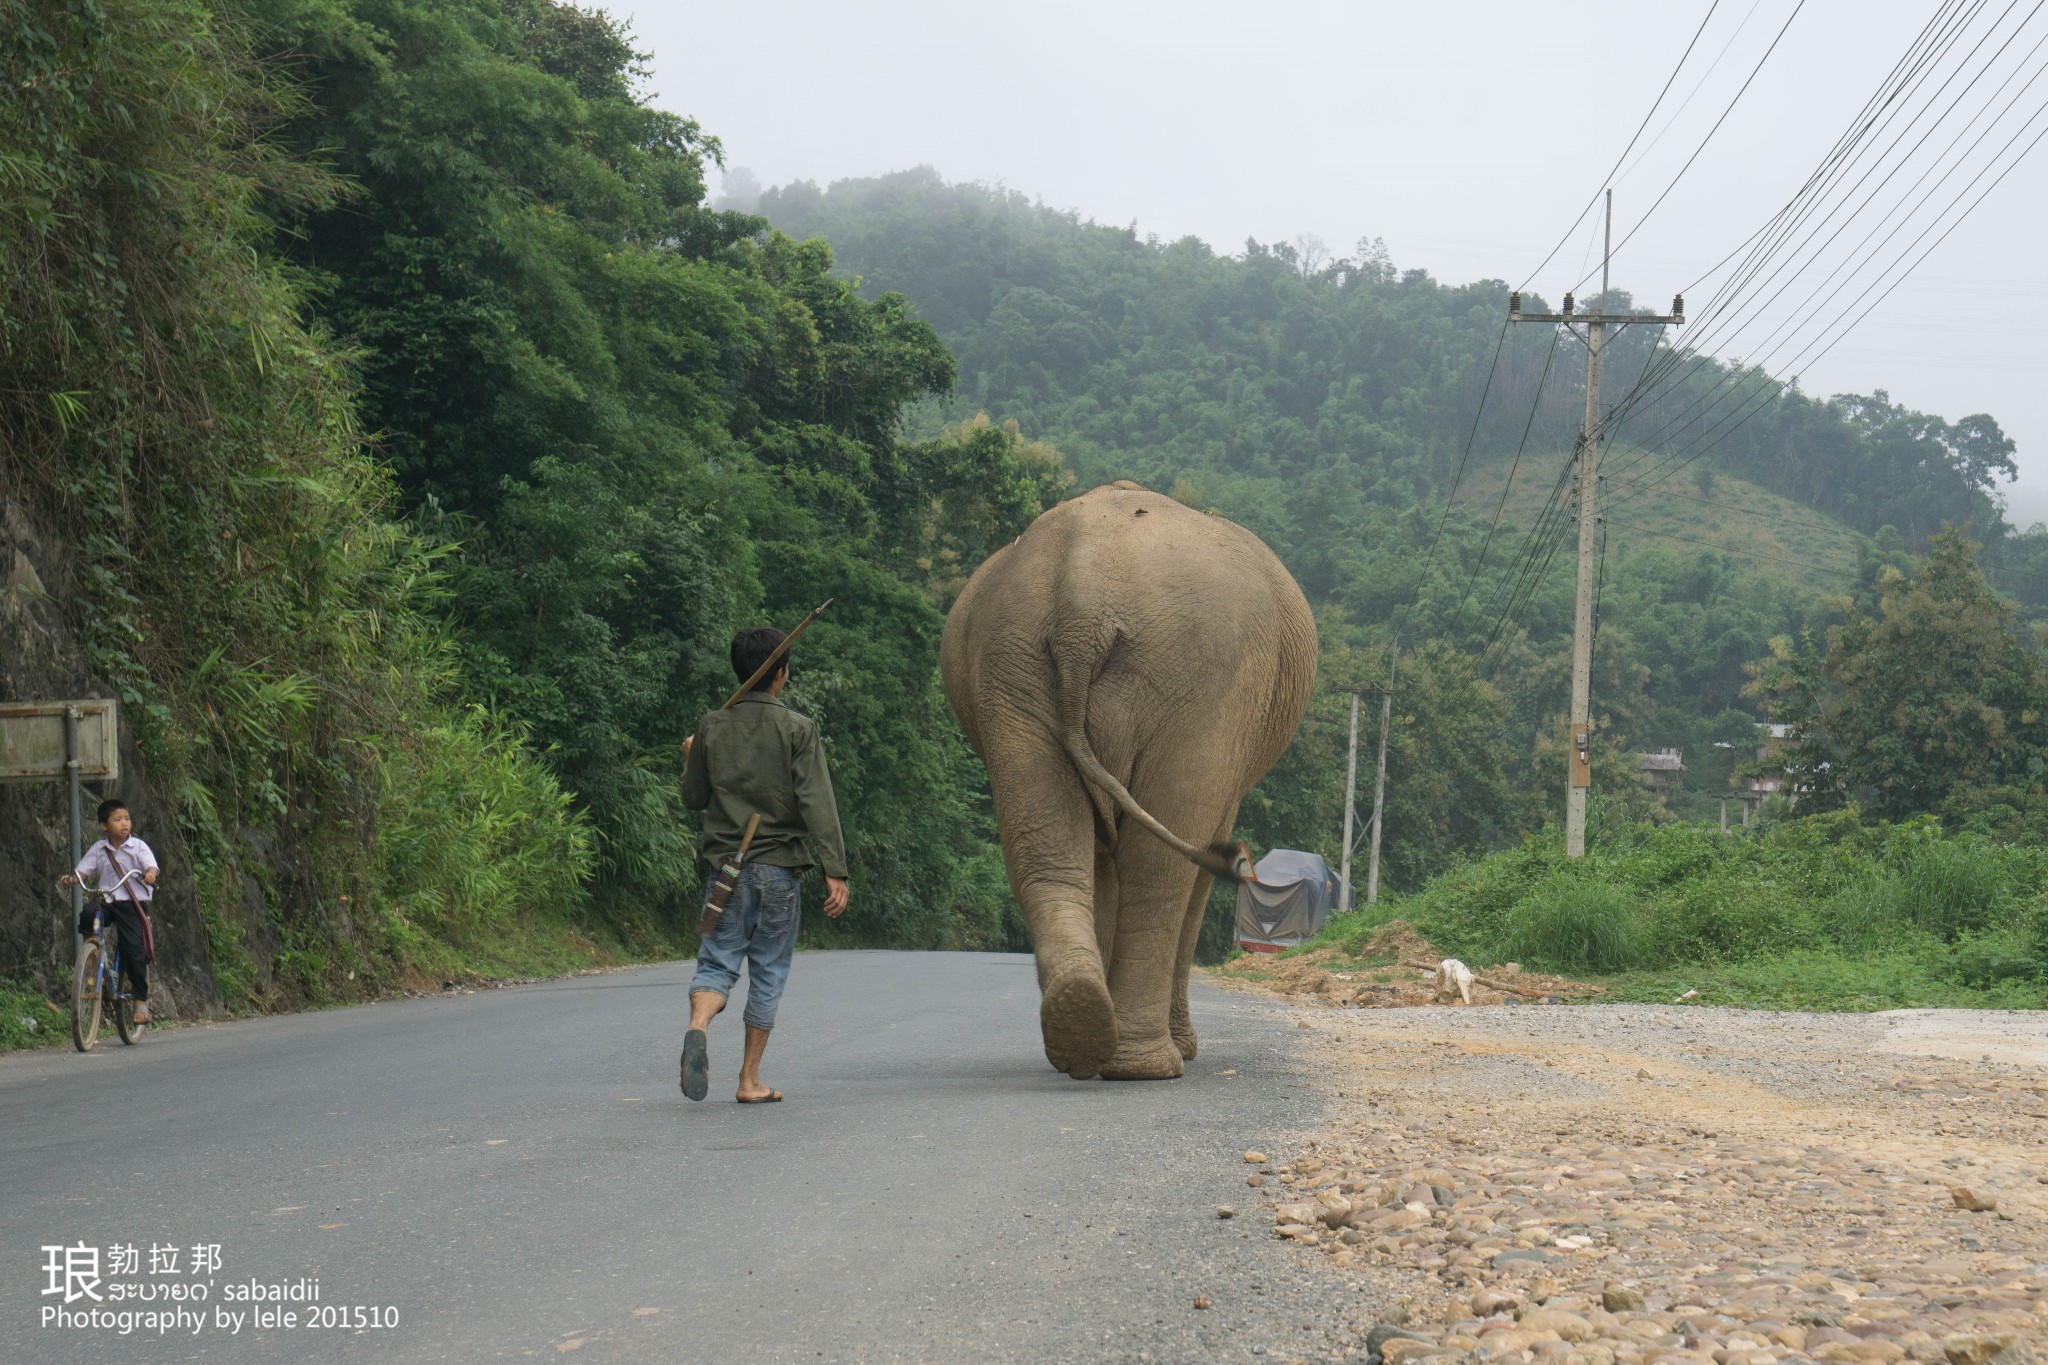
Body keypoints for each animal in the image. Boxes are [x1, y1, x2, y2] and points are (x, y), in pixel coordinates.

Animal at [937, 480, 1310, 1080]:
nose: (1241, 859)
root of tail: (1080, 606)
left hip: (1008, 670)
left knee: (1046, 850)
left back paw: (1083, 1022)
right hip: (1207, 682)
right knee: (1161, 865)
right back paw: (1144, 1063)